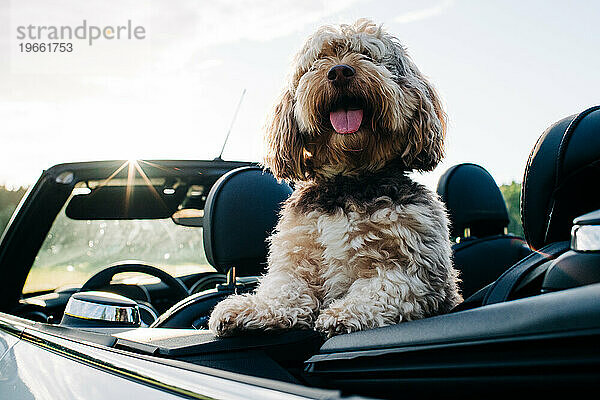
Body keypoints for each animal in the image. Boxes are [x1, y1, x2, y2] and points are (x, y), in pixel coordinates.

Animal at [209, 18, 462, 338]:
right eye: (319, 60)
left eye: (367, 54)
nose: (339, 71)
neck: (348, 183)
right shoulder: (297, 258)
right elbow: (285, 291)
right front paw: (250, 308)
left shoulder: (418, 270)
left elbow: (386, 287)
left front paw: (346, 311)